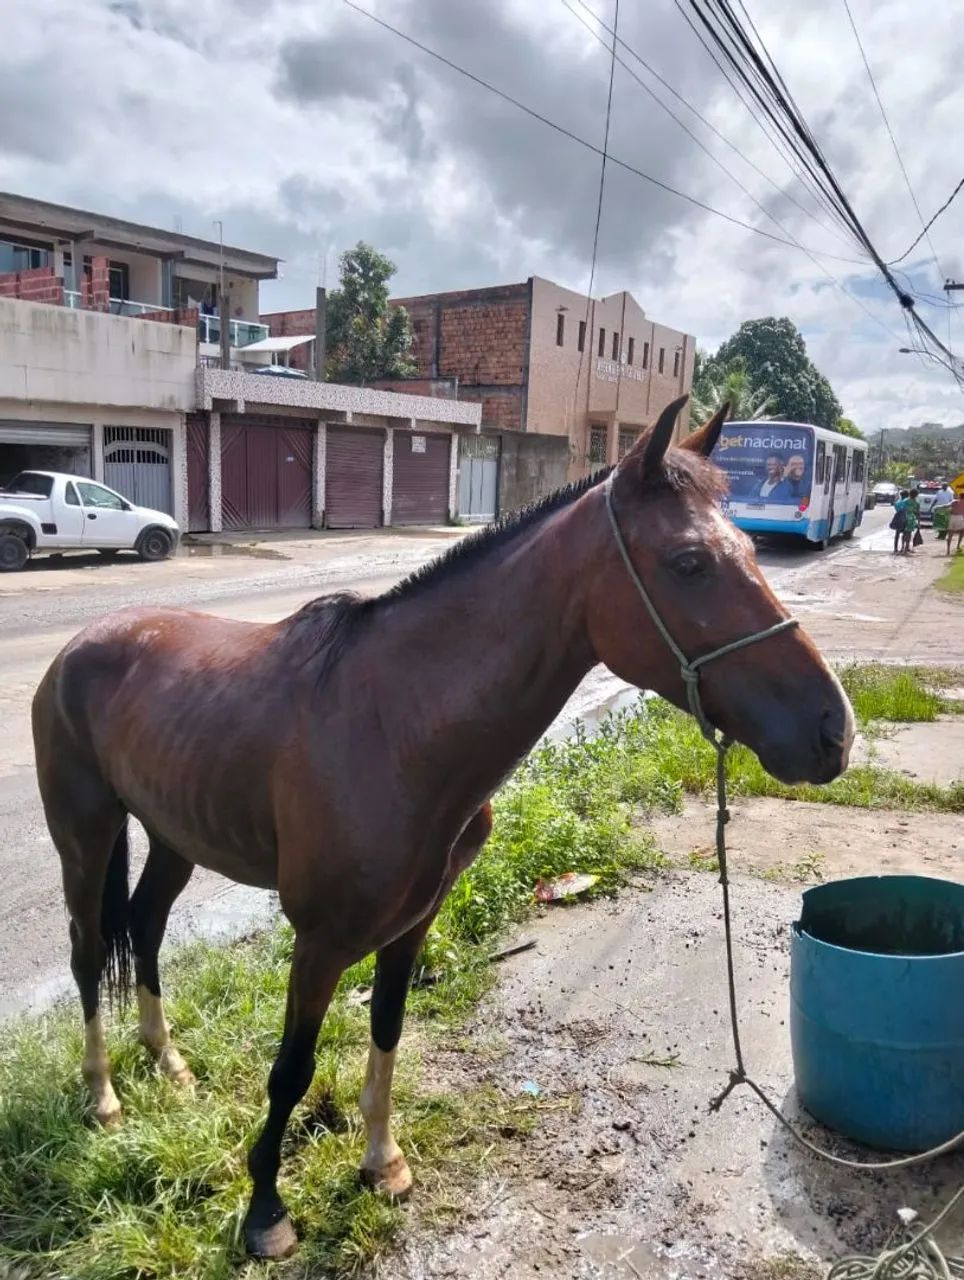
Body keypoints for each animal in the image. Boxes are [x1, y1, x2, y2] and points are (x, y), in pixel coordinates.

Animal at [32, 395, 854, 1259]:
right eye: (690, 562)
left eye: (747, 549)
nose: (833, 730)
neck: (396, 721)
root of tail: (81, 645)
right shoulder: (318, 940)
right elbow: (291, 1071)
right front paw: (265, 1211)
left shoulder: (413, 922)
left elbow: (388, 1029)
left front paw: (381, 1163)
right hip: (85, 833)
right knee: (88, 953)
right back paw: (104, 1097)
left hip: (173, 834)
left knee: (146, 928)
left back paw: (169, 1064)